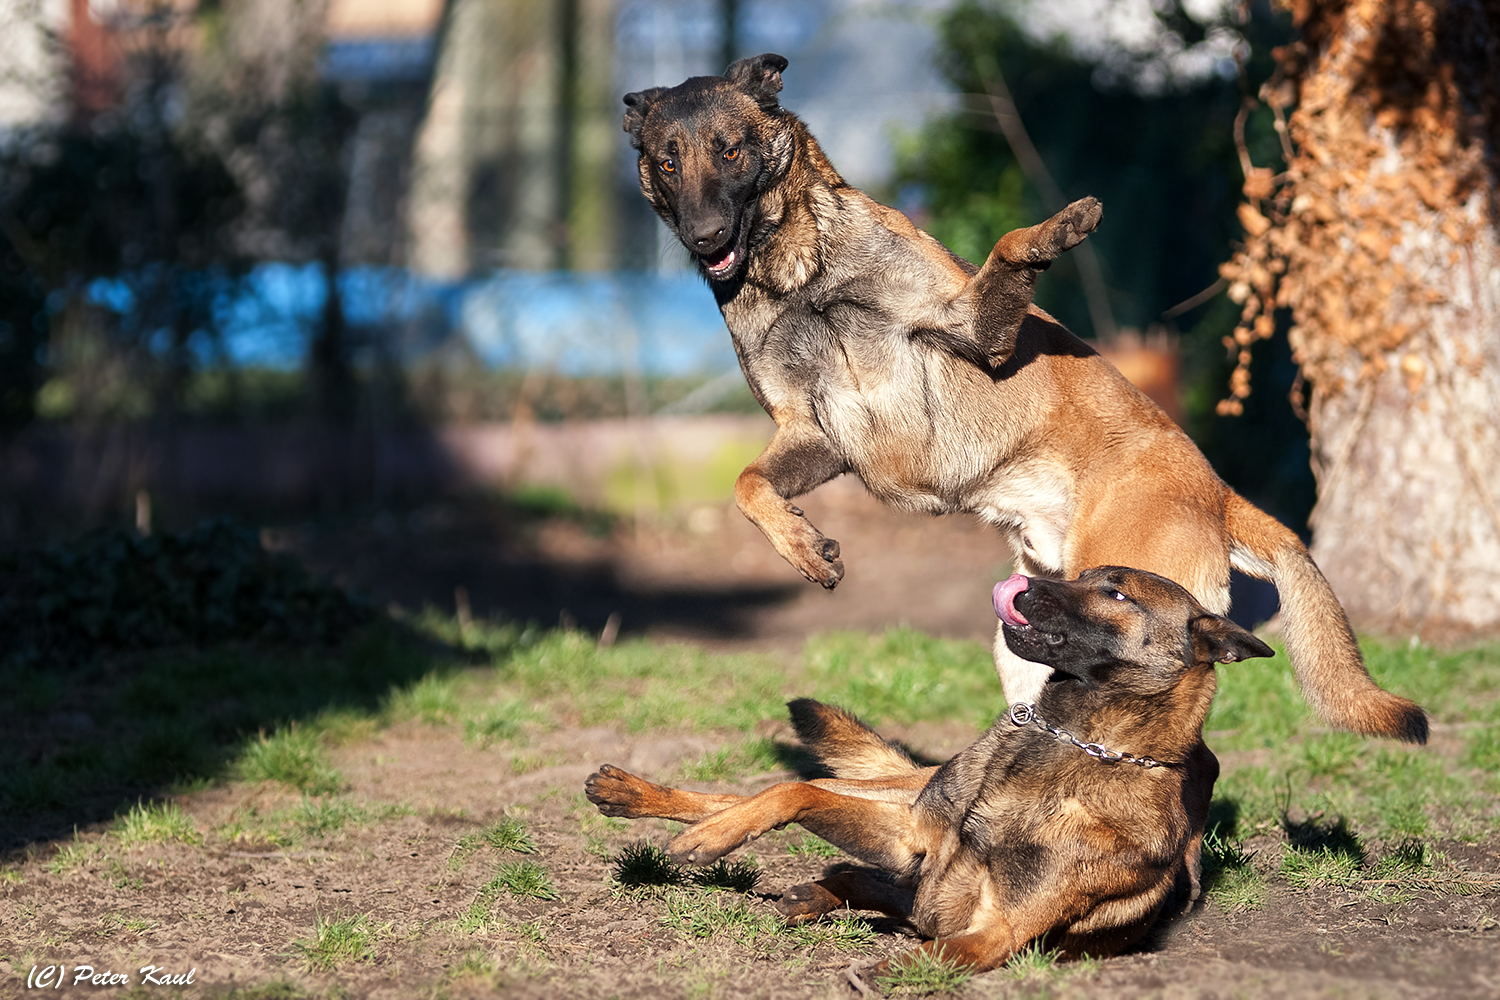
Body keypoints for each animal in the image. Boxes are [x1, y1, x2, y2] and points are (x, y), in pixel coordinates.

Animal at [588, 569, 1278, 977]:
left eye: (1115, 593)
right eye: (1082, 576)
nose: (1024, 584)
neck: (1074, 745)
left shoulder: (996, 933)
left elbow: (932, 948)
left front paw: (889, 966)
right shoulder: (912, 837)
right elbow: (791, 789)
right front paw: (707, 840)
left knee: (862, 873)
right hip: (901, 795)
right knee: (768, 791)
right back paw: (641, 798)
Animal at [624, 52, 1428, 743]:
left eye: (731, 151)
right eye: (668, 161)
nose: (703, 238)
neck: (801, 278)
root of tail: (1220, 494)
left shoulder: (974, 329)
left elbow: (1009, 242)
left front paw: (1061, 226)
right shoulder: (811, 431)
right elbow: (746, 485)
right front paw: (805, 550)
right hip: (1021, 636)